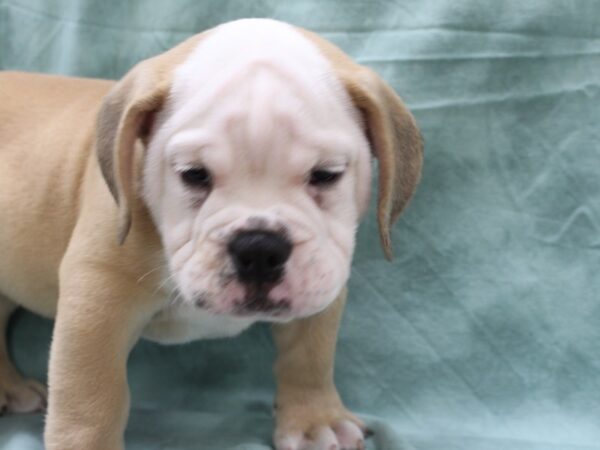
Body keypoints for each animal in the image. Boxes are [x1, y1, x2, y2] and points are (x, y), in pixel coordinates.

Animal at [0, 18, 422, 450]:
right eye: (193, 175)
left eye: (326, 175)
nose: (259, 249)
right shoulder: (98, 297)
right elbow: (91, 397)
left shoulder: (323, 280)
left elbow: (310, 355)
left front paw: (315, 421)